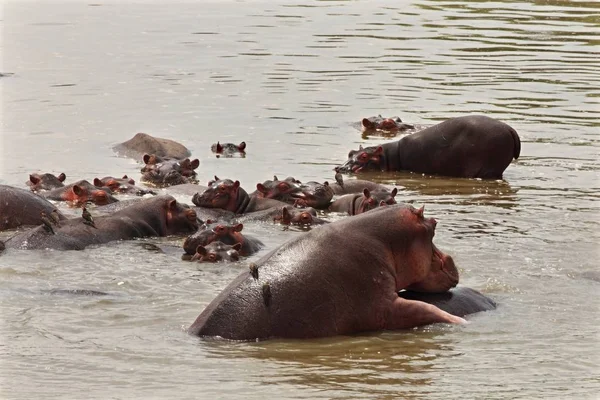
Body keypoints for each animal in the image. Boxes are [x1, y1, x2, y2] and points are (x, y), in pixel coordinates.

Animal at [188, 203, 488, 340]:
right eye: (434, 225)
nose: (451, 259)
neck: (387, 239)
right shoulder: (382, 305)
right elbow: (426, 310)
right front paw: (460, 322)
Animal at [338, 115, 520, 179]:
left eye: (363, 157)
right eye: (350, 152)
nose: (340, 168)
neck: (387, 156)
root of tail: (510, 130)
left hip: (490, 168)